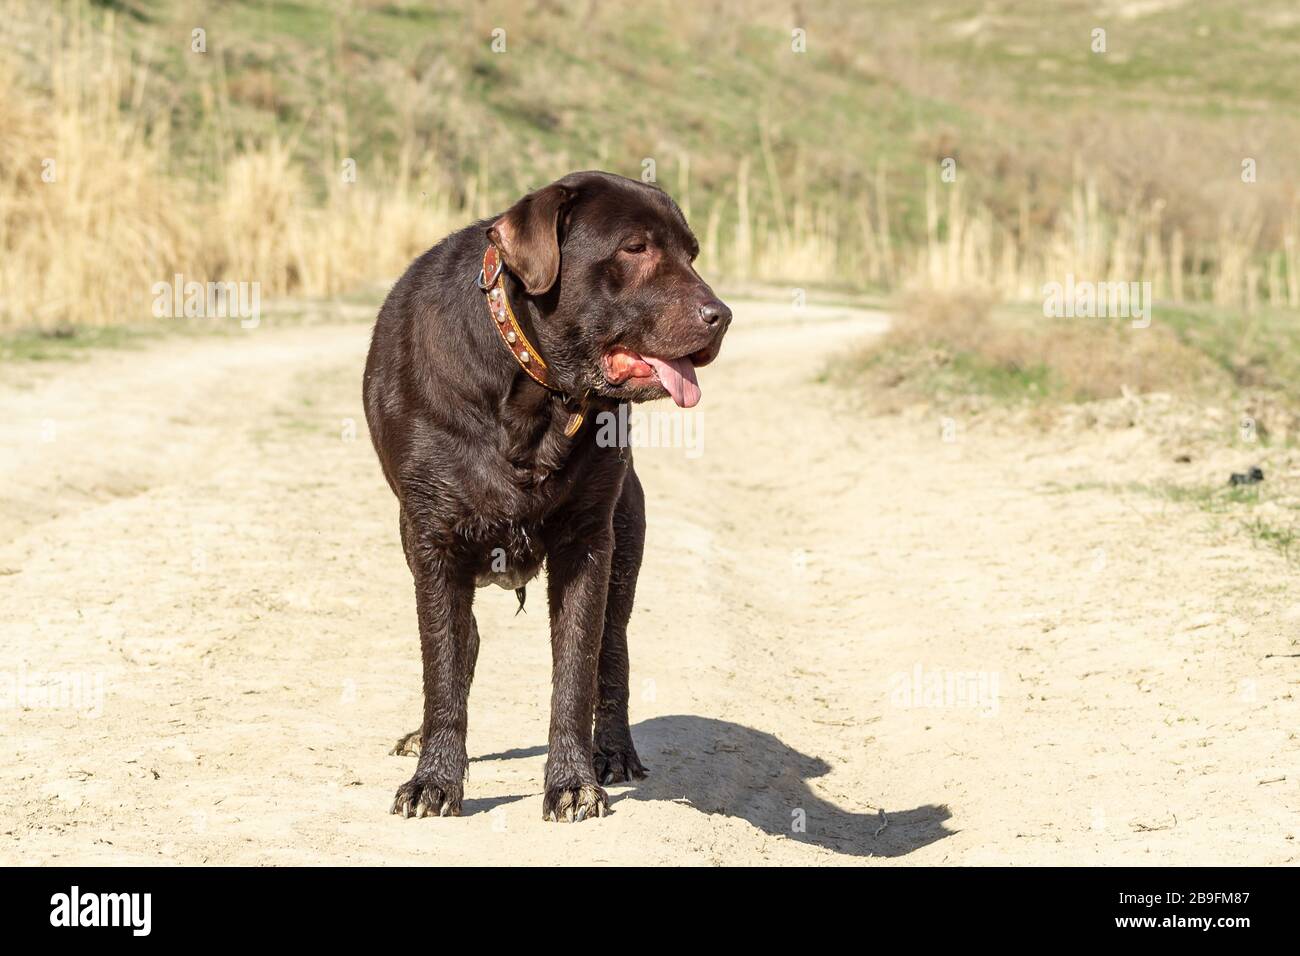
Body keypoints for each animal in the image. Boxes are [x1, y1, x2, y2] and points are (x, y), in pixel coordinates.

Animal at [364, 170, 733, 822]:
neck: (535, 393)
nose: (722, 315)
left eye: (691, 254)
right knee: (462, 644)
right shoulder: (432, 540)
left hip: (624, 544)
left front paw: (572, 780)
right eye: (635, 248)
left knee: (613, 654)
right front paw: (434, 777)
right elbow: (442, 662)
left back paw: (613, 752)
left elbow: (576, 670)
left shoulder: (587, 542)